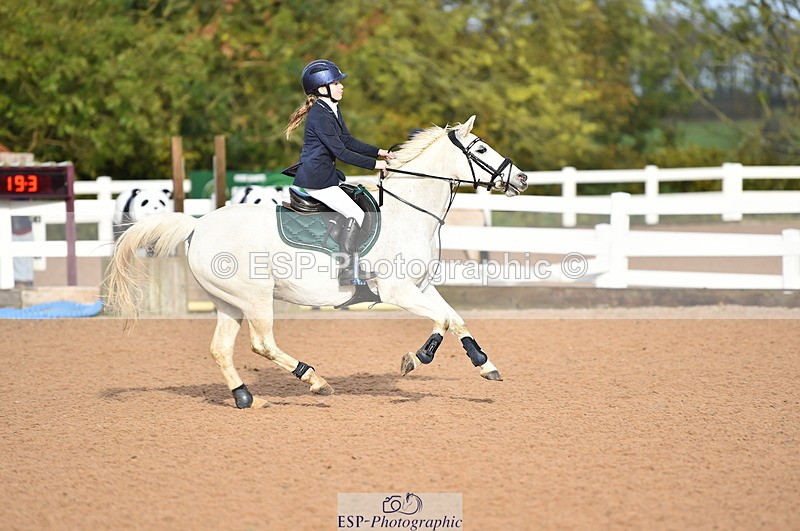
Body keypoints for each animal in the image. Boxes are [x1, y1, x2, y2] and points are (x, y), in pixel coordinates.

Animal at [104, 115, 528, 408]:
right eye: (480, 150)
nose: (522, 179)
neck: (409, 212)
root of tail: (197, 225)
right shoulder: (398, 291)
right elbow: (441, 321)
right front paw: (415, 358)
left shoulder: (421, 286)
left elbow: (456, 319)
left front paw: (485, 365)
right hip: (256, 297)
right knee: (262, 344)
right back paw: (314, 380)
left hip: (229, 302)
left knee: (221, 349)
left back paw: (245, 397)